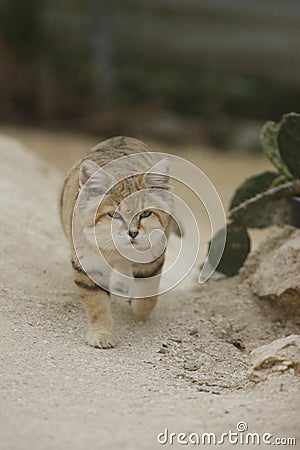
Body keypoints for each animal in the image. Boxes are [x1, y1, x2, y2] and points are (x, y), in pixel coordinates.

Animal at [59, 136, 171, 348]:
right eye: (114, 215)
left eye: (145, 214)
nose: (133, 233)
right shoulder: (89, 265)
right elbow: (97, 304)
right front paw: (102, 334)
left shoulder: (153, 257)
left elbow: (148, 296)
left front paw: (138, 306)